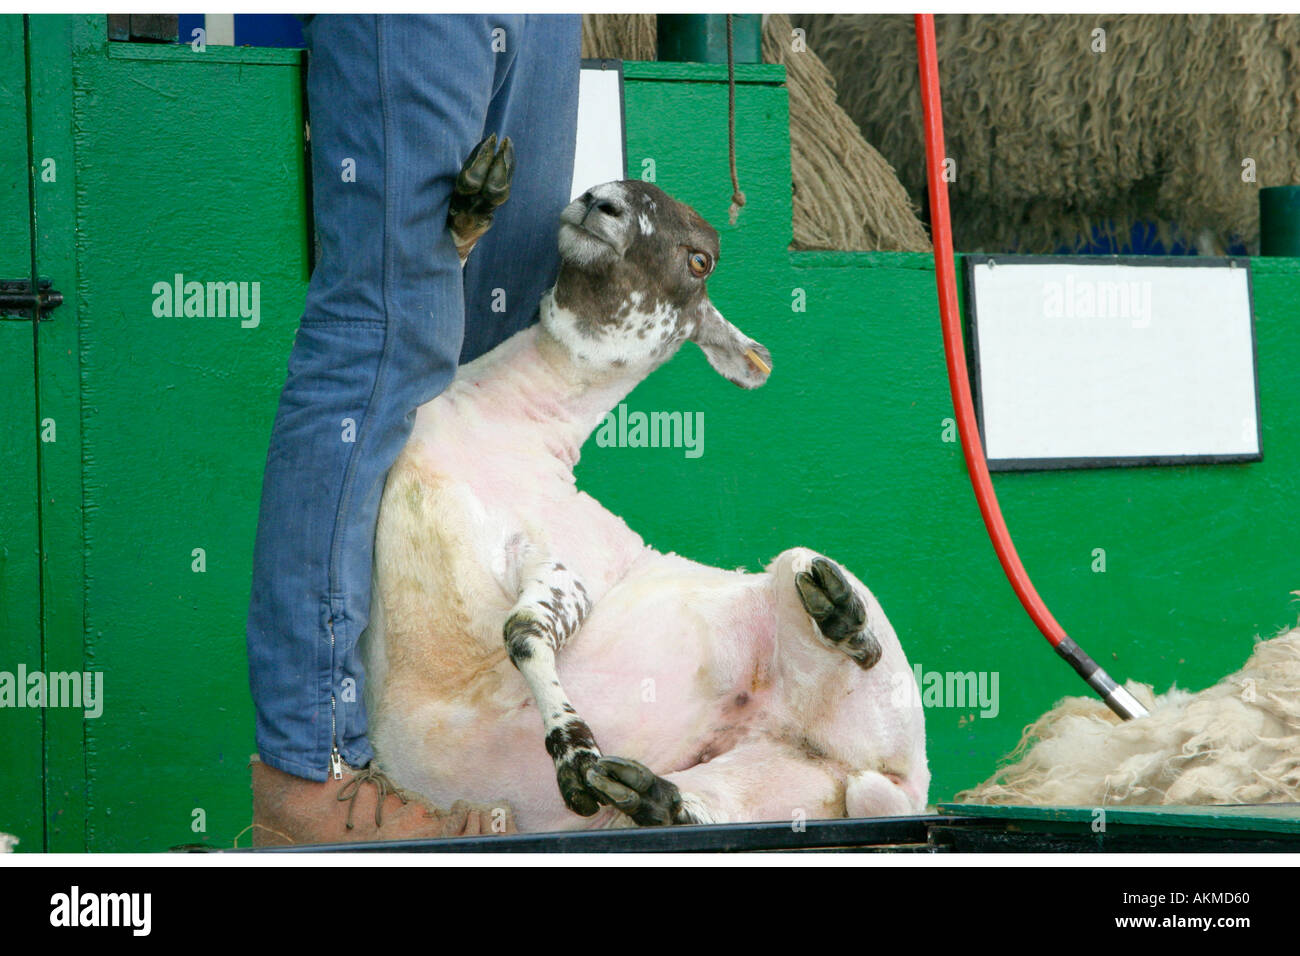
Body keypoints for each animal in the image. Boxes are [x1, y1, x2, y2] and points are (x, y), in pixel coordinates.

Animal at [358, 142, 929, 832]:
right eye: (602, 184)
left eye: (700, 259)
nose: (598, 202)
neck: (509, 420)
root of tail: (900, 787)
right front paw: (474, 200)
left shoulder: (570, 558)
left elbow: (520, 631)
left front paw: (574, 754)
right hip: (792, 780)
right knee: (708, 811)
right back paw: (651, 793)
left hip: (848, 661)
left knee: (835, 609)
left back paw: (844, 620)